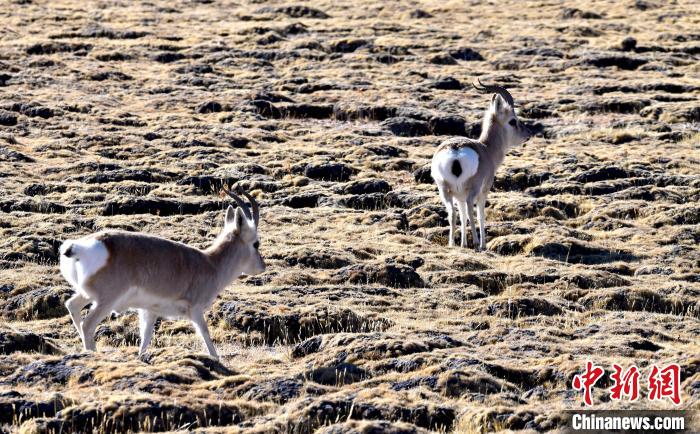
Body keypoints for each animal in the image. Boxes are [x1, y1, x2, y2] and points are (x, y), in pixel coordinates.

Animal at [59, 189, 265, 359]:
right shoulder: (196, 310)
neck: (210, 264)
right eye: (256, 243)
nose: (262, 267)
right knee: (87, 324)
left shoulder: (149, 311)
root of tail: (78, 247)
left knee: (72, 305)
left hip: (87, 295)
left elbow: (145, 340)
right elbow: (207, 339)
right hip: (106, 301)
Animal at [431, 80, 532, 250]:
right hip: (473, 188)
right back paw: (477, 243)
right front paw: (482, 244)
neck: (486, 149)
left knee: (453, 213)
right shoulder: (484, 190)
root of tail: (455, 150)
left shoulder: (459, 196)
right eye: (513, 121)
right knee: (471, 208)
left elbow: (462, 215)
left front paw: (463, 243)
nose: (527, 134)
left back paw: (451, 243)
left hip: (444, 190)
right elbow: (480, 215)